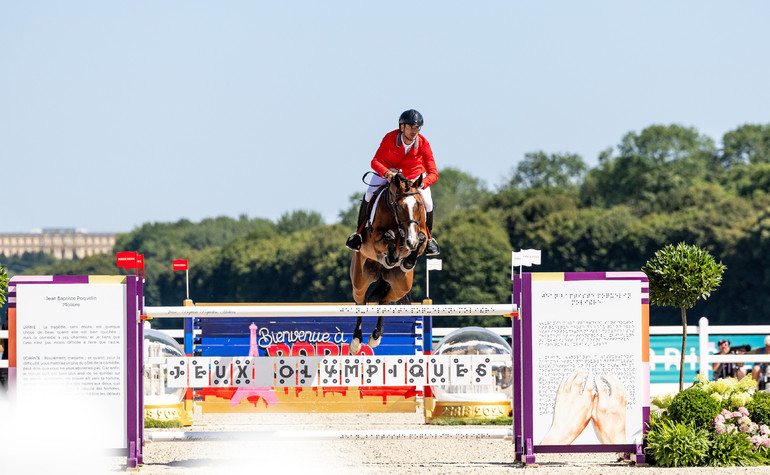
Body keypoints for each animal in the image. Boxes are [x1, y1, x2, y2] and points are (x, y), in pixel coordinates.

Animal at [346, 173, 426, 356]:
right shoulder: (375, 238)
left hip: (401, 286)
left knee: (384, 300)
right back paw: (356, 341)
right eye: (399, 205)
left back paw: (376, 336)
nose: (411, 241)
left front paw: (407, 259)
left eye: (419, 205)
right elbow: (389, 235)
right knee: (361, 302)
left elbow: (422, 238)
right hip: (360, 280)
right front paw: (391, 255)